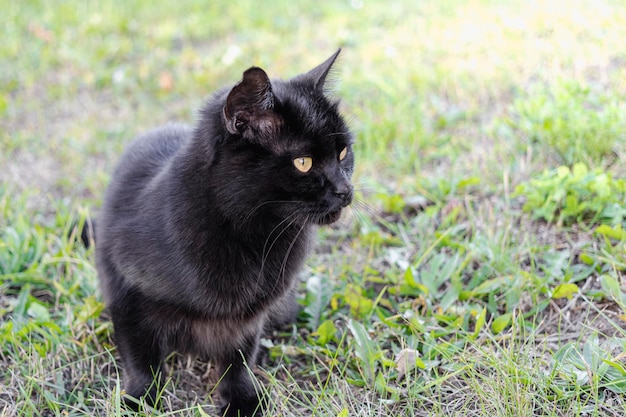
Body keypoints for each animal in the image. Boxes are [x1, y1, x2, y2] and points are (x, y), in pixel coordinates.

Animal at [95, 49, 354, 416]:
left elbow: (238, 357)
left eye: (343, 153)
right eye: (303, 163)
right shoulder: (126, 290)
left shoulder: (247, 316)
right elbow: (141, 357)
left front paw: (242, 399)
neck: (255, 236)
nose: (346, 190)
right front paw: (140, 399)